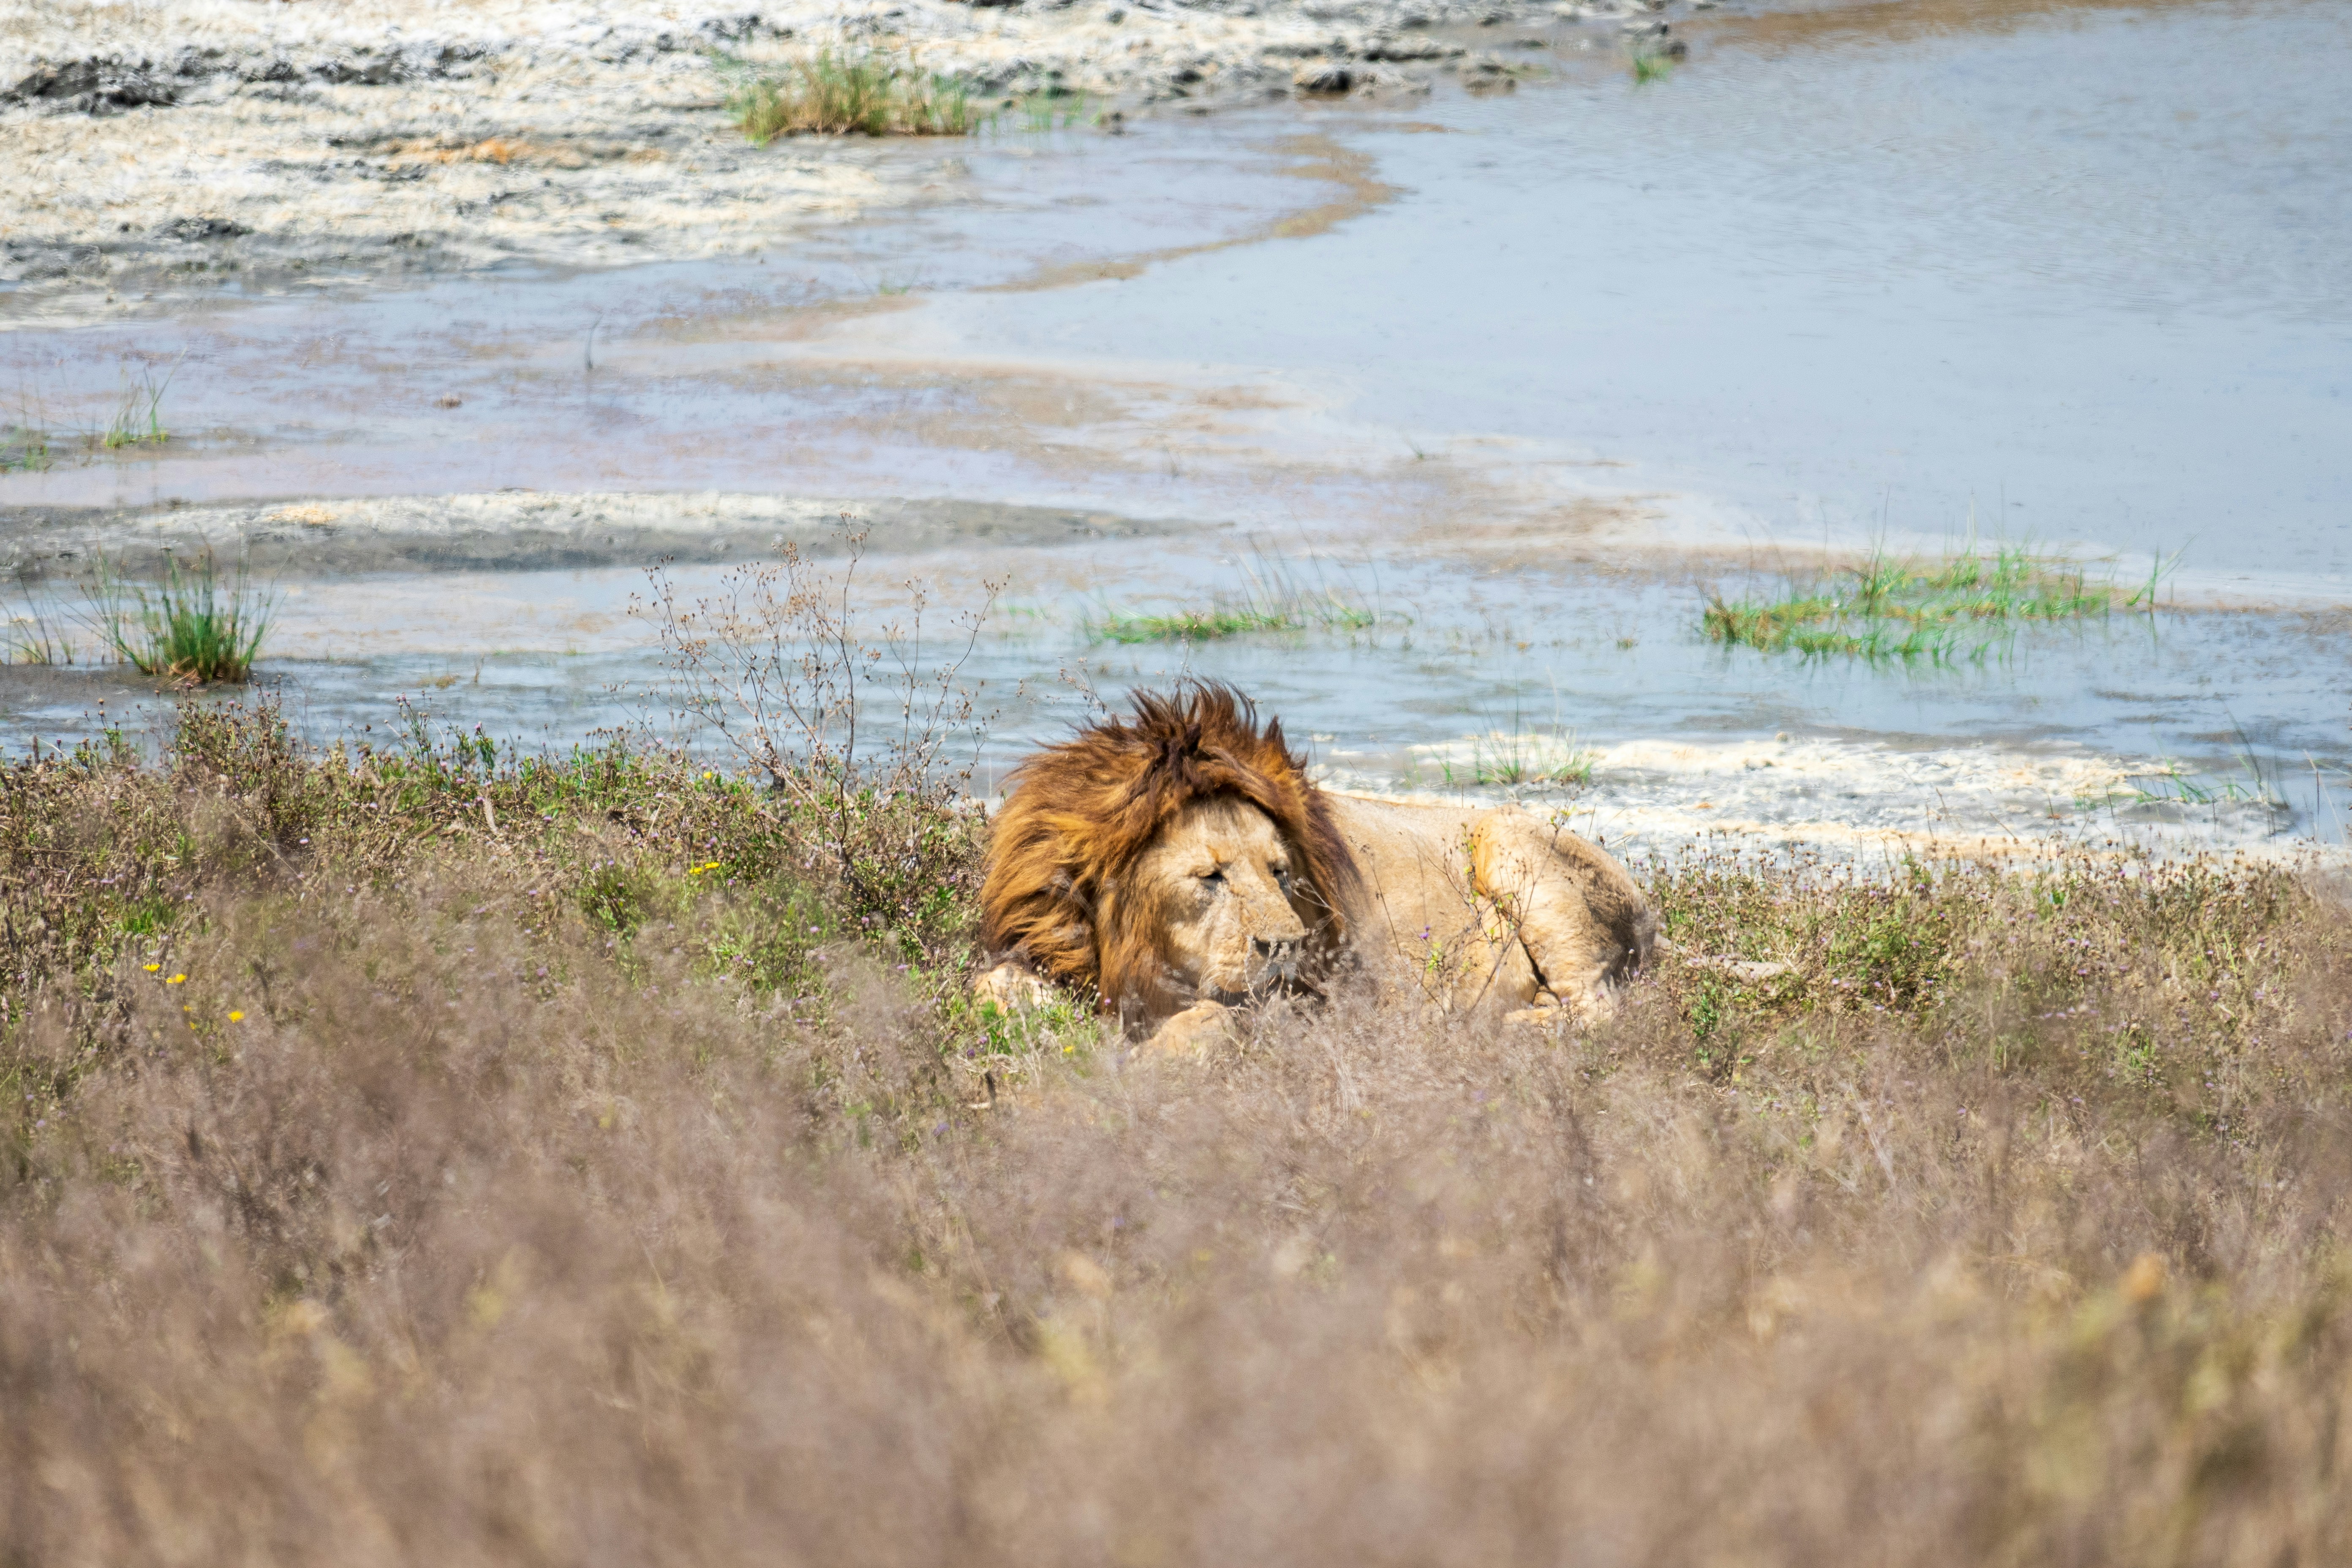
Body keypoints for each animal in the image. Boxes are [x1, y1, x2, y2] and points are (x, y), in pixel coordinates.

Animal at [976, 682, 1656, 1048]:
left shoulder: (1308, 1005)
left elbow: (1213, 1018)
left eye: (1280, 872)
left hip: (1515, 846)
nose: (1287, 946)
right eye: (1211, 877)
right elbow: (992, 988)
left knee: (1598, 1013)